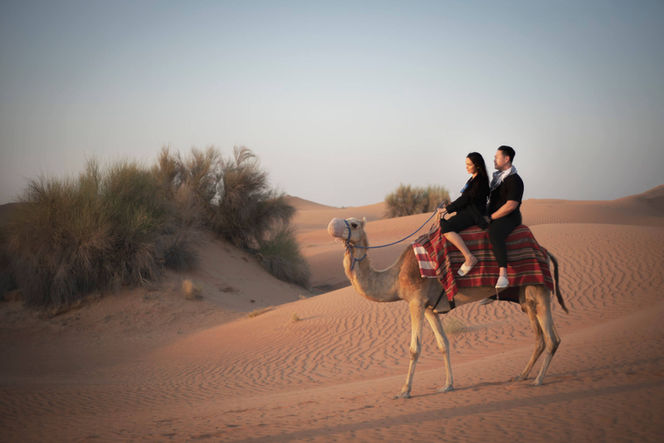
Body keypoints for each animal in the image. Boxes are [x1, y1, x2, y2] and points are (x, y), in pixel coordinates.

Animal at [327, 216, 568, 399]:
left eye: (354, 224)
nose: (332, 225)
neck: (395, 278)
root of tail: (544, 250)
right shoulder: (429, 308)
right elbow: (443, 344)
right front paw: (447, 385)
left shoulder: (415, 302)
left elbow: (414, 348)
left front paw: (404, 391)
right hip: (526, 296)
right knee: (541, 337)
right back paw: (521, 376)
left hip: (539, 290)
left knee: (551, 338)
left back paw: (538, 380)